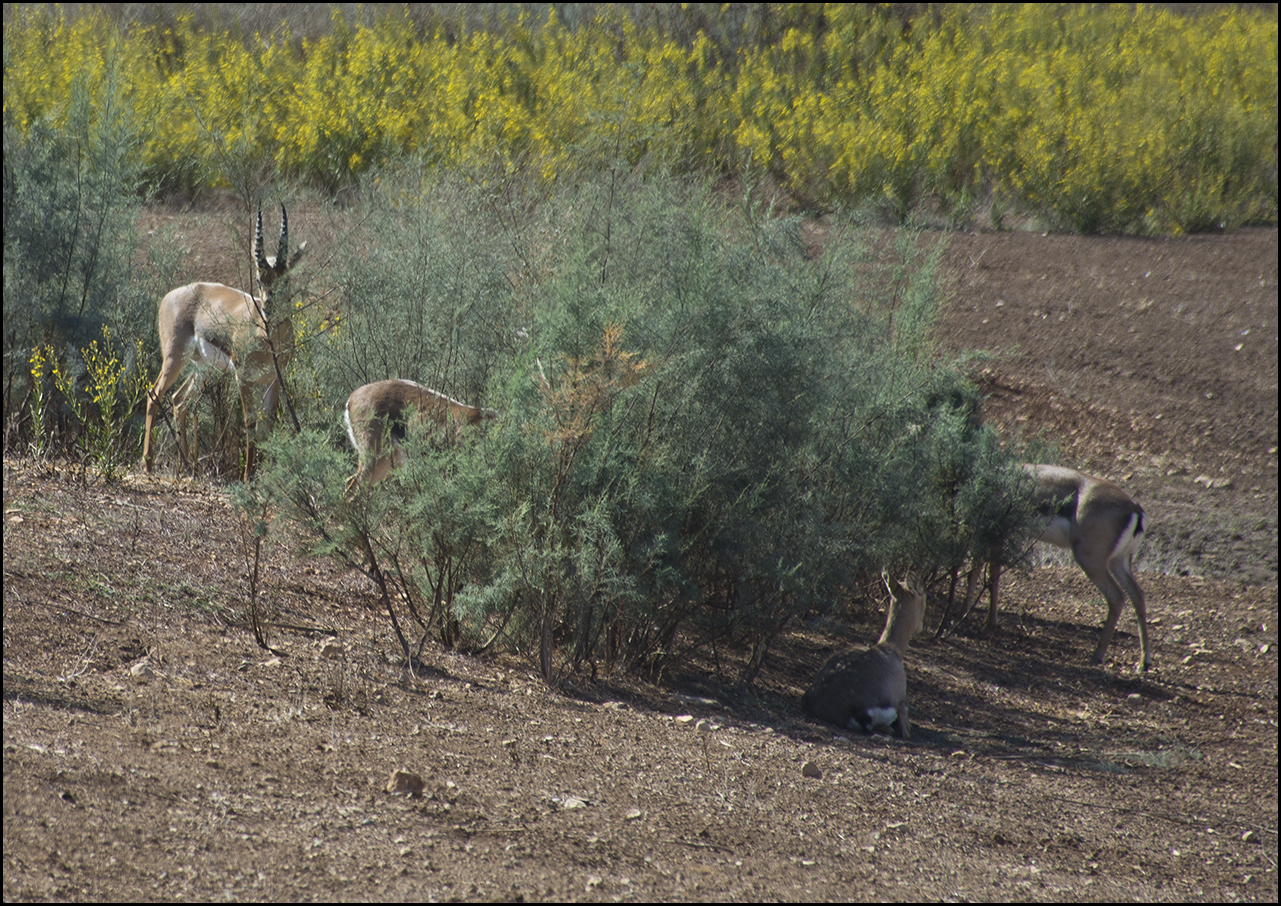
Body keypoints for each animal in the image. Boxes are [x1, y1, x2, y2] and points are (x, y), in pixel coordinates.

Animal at [143, 204, 304, 480]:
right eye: (259, 279)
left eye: (285, 278)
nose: (268, 307)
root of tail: (169, 296)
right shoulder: (244, 377)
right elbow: (250, 423)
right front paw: (248, 477)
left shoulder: (273, 379)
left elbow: (268, 426)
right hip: (174, 359)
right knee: (153, 395)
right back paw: (148, 464)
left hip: (203, 368)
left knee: (179, 400)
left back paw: (187, 466)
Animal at [964, 463, 1151, 671]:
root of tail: (1135, 510)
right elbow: (990, 573)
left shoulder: (992, 532)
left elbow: (981, 573)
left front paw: (969, 618)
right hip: (1118, 562)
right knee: (1137, 595)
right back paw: (1143, 662)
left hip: (1090, 560)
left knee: (1117, 597)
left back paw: (1096, 656)